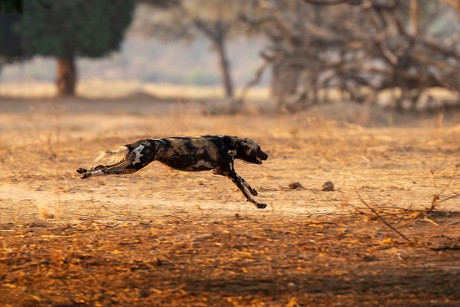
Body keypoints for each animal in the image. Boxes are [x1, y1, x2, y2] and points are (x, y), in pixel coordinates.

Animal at [76, 137, 270, 209]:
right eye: (259, 148)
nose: (267, 155)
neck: (232, 144)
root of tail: (137, 142)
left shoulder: (222, 171)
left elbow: (245, 181)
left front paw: (255, 191)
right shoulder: (229, 172)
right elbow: (245, 191)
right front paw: (258, 204)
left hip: (128, 163)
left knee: (100, 165)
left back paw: (84, 172)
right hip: (132, 167)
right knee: (105, 170)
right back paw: (87, 175)